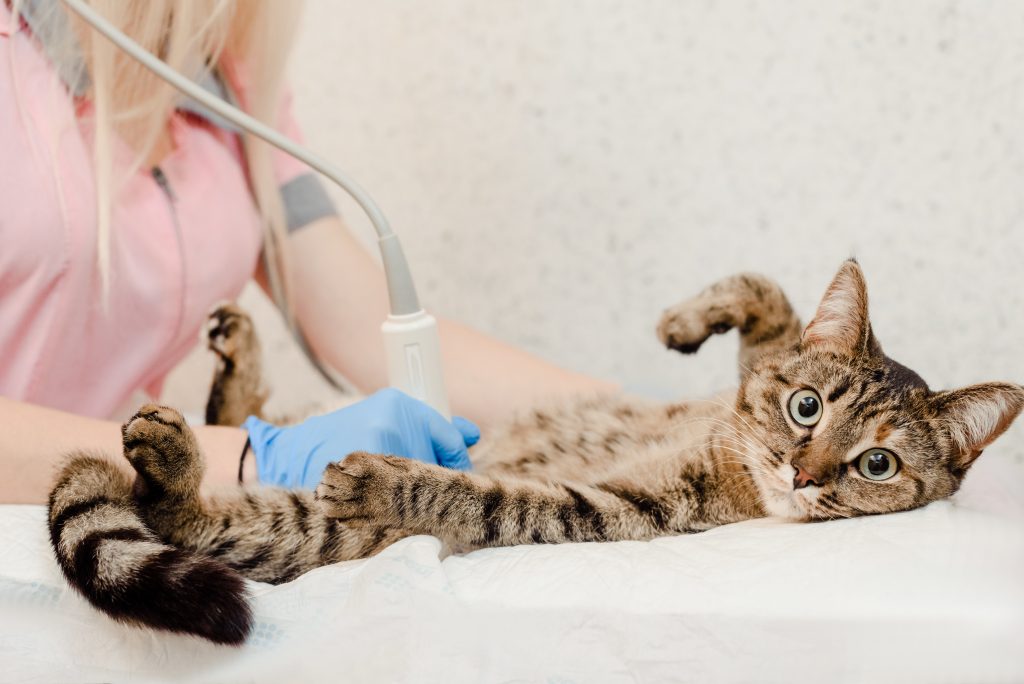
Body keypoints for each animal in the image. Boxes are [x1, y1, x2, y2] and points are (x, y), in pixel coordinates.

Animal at [49, 259, 1024, 643]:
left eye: (877, 466)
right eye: (807, 406)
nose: (803, 471)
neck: (733, 465)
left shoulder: (616, 514)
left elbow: (480, 496)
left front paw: (399, 478)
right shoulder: (748, 379)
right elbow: (770, 300)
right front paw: (689, 319)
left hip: (313, 532)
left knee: (194, 520)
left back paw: (179, 458)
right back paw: (230, 370)